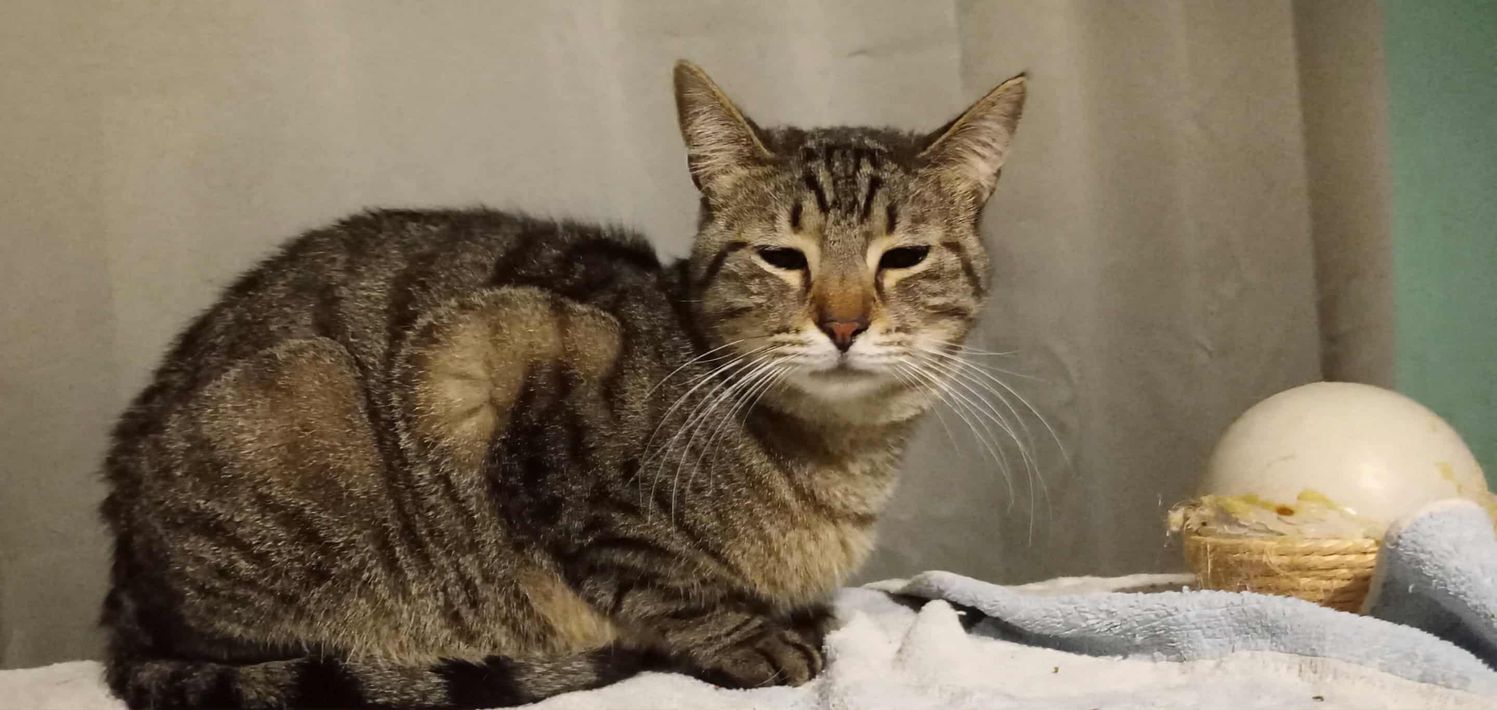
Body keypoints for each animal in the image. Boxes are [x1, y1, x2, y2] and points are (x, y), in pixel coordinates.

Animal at [99, 60, 1026, 709]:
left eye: (903, 257)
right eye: (781, 257)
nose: (842, 324)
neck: (836, 459)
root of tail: (124, 590)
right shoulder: (511, 369)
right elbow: (654, 574)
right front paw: (750, 637)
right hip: (303, 394)